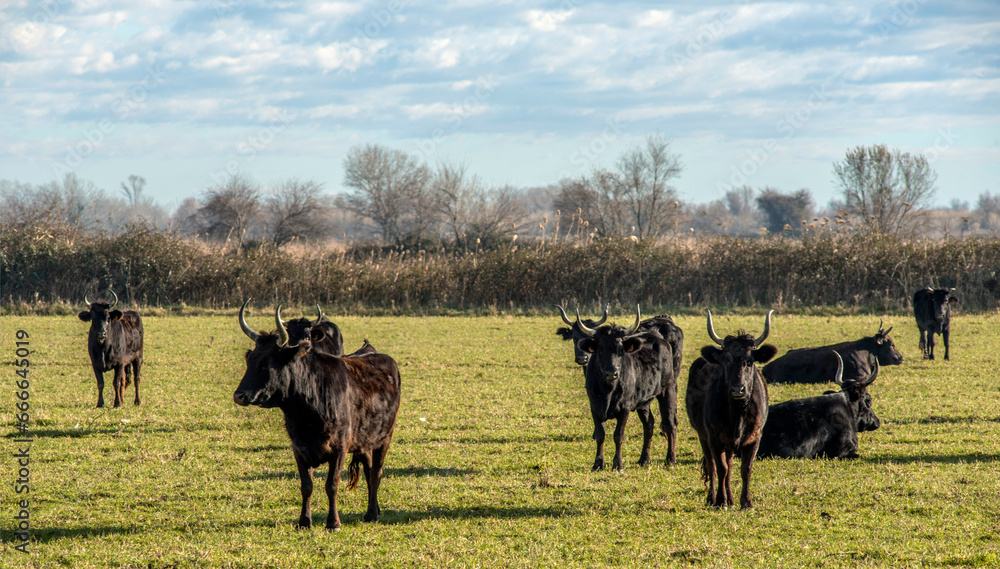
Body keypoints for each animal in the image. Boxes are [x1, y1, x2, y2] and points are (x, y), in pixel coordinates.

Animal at [232, 300, 400, 532]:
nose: (239, 395)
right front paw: (304, 521)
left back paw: (372, 513)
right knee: (368, 471)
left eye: (266, 363)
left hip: (384, 438)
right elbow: (307, 486)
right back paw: (373, 511)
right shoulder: (299, 448)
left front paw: (333, 522)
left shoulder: (339, 448)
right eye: (249, 361)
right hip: (364, 442)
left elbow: (332, 485)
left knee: (376, 473)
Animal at [576, 306, 684, 470]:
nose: (611, 373)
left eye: (621, 351)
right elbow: (600, 435)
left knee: (670, 423)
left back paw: (670, 459)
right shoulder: (594, 407)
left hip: (668, 389)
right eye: (600, 350)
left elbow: (618, 436)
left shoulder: (624, 408)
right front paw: (598, 463)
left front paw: (617, 464)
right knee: (649, 424)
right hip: (644, 401)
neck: (608, 391)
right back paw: (644, 459)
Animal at [684, 310, 776, 510]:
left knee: (730, 464)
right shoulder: (713, 437)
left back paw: (732, 498)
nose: (737, 389)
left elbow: (745, 469)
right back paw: (713, 498)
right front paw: (720, 501)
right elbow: (720, 468)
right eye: (726, 360)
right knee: (712, 465)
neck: (737, 413)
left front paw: (746, 502)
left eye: (750, 361)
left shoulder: (755, 437)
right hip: (703, 436)